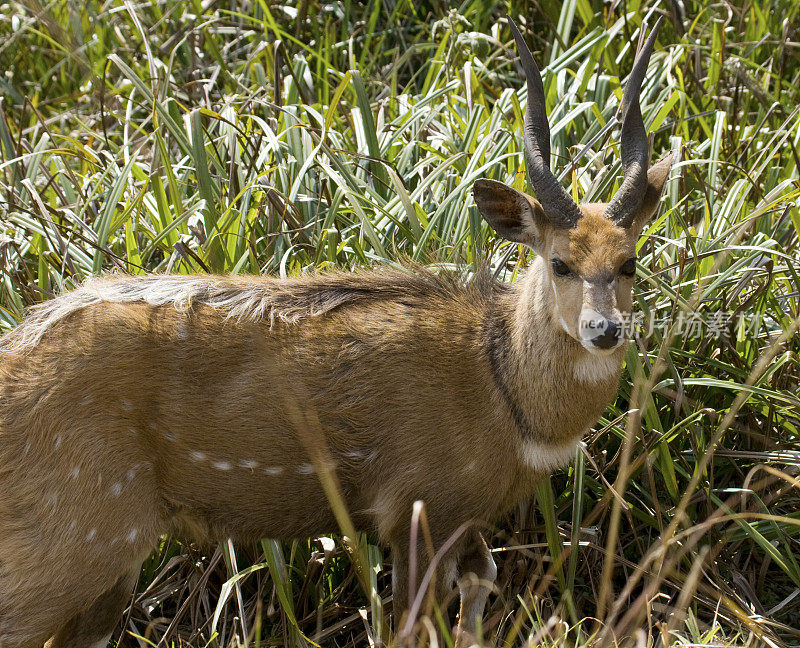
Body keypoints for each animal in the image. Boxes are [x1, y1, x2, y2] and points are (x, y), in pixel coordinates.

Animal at [0, 16, 672, 648]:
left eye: (629, 261)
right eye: (560, 262)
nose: (604, 329)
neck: (504, 390)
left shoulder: (468, 520)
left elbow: (482, 585)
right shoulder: (415, 510)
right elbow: (410, 626)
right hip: (76, 536)